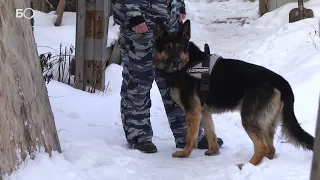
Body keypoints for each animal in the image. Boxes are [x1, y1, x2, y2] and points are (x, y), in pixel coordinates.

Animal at [153, 19, 316, 167]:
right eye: (167, 48)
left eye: (180, 47)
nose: (176, 62)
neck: (188, 64)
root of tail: (281, 81)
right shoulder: (204, 112)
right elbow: (210, 133)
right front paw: (214, 151)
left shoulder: (192, 112)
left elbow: (190, 138)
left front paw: (184, 153)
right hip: (266, 123)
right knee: (271, 148)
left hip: (249, 118)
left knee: (262, 147)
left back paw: (248, 165)